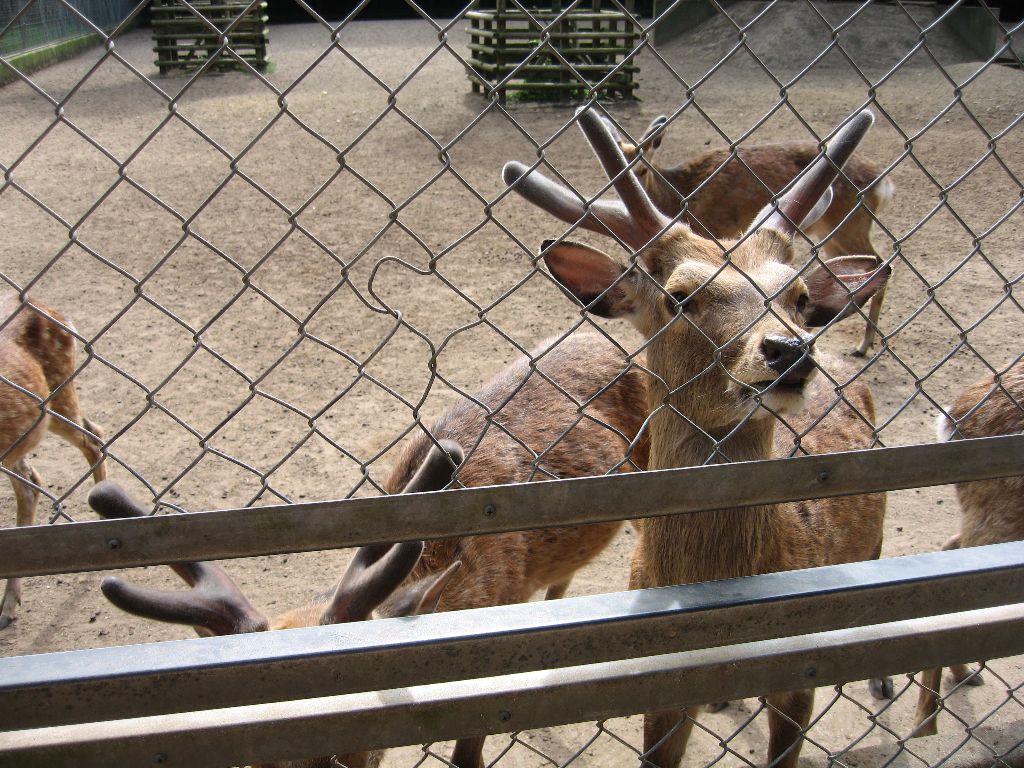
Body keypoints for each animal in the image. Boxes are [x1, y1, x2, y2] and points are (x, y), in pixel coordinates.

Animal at [602, 113, 892, 358]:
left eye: (642, 169)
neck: (680, 195)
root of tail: (882, 183)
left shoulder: (718, 228)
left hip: (851, 223)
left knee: (881, 260)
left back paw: (862, 345)